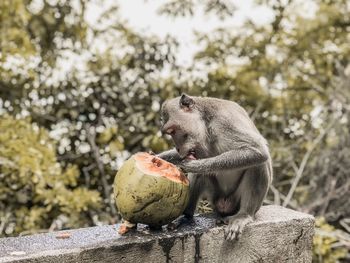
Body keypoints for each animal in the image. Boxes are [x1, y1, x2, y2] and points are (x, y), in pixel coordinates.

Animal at [157, 94, 272, 242]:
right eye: (169, 133)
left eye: (173, 131)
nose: (177, 147)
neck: (206, 121)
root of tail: (224, 204)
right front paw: (158, 157)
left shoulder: (225, 122)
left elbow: (257, 150)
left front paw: (196, 166)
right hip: (214, 195)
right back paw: (186, 216)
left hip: (236, 200)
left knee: (258, 163)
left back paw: (244, 215)